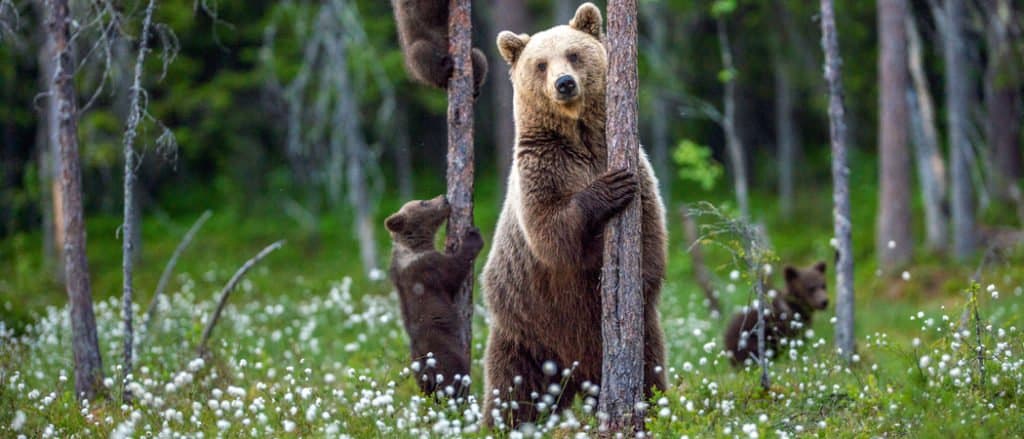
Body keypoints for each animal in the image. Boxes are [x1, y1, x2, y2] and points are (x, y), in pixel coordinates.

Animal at [385, 196, 483, 399]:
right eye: (423, 202)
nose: (444, 198)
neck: (413, 246)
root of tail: (427, 371)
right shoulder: (428, 268)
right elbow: (454, 271)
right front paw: (473, 236)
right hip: (446, 355)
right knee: (455, 378)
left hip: (418, 372)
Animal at [481, 2, 667, 427]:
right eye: (540, 64)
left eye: (574, 54)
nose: (564, 83)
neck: (579, 136)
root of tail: (576, 372)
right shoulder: (542, 169)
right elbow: (551, 232)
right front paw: (609, 189)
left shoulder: (635, 166)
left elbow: (650, 234)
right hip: (526, 330)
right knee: (512, 391)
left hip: (639, 336)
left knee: (650, 369)